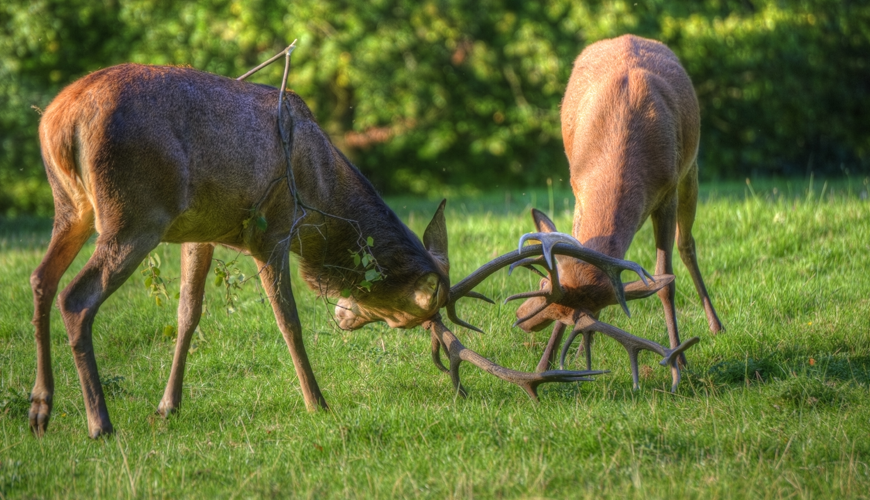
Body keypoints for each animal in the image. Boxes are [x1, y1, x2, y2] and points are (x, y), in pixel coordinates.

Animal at [31, 61, 627, 439]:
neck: (321, 192)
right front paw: (317, 401)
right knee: (76, 297)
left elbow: (188, 314)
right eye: (406, 317)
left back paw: (41, 409)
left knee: (40, 279)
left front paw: (167, 407)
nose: (344, 316)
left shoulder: (200, 229)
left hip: (73, 207)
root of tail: (59, 121)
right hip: (135, 214)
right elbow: (288, 321)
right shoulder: (270, 229)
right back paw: (98, 422)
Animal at [495, 35, 723, 389]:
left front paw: (679, 361)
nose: (521, 319)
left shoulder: (668, 191)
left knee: (687, 244)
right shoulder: (577, 189)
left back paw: (716, 325)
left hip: (691, 171)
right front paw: (550, 362)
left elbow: (665, 279)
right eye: (545, 286)